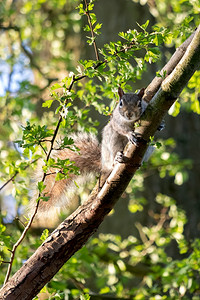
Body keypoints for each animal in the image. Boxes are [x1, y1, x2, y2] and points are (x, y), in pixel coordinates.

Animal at [29, 85, 148, 219]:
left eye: (139, 103)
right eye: (121, 103)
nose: (129, 114)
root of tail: (103, 163)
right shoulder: (116, 121)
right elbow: (121, 128)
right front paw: (129, 134)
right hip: (111, 141)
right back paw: (116, 159)